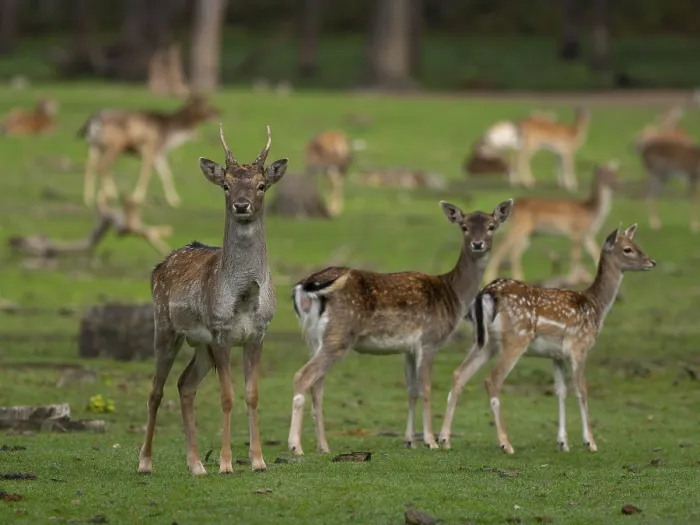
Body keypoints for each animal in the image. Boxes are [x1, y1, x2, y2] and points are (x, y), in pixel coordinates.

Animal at [78, 94, 220, 210]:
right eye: (203, 105)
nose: (218, 112)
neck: (170, 134)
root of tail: (93, 120)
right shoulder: (150, 149)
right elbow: (146, 173)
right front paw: (137, 198)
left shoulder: (159, 153)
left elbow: (166, 174)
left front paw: (175, 201)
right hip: (114, 145)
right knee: (103, 166)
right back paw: (103, 199)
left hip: (94, 146)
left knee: (90, 167)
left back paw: (90, 199)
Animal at [137, 124, 288, 476]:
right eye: (225, 185)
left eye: (261, 185)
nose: (242, 205)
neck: (244, 297)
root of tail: (159, 266)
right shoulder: (221, 332)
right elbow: (227, 396)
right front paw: (226, 463)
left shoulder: (257, 334)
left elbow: (252, 395)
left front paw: (258, 461)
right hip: (165, 327)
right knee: (155, 390)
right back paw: (145, 462)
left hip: (200, 345)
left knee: (185, 384)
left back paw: (195, 465)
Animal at [287, 199, 514, 456]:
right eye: (464, 226)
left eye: (491, 226)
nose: (478, 244)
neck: (452, 294)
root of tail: (305, 286)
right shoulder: (429, 340)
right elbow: (426, 388)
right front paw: (431, 441)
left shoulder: (408, 348)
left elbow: (411, 389)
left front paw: (410, 440)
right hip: (339, 335)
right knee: (303, 376)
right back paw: (296, 446)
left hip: (314, 339)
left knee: (317, 386)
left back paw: (324, 447)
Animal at [439, 223, 656, 454]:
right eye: (627, 249)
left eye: (635, 243)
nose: (652, 262)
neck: (596, 307)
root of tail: (487, 294)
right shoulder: (579, 346)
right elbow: (581, 388)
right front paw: (590, 442)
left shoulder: (556, 355)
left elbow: (560, 390)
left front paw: (563, 443)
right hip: (516, 339)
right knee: (493, 379)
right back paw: (506, 444)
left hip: (485, 342)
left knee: (459, 374)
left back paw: (444, 439)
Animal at [483, 161, 619, 285]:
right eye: (605, 175)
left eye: (614, 174)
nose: (616, 184)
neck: (591, 211)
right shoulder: (576, 231)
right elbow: (576, 256)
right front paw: (572, 279)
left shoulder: (587, 235)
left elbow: (595, 252)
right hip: (521, 227)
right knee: (505, 247)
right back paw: (490, 277)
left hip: (529, 233)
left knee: (515, 250)